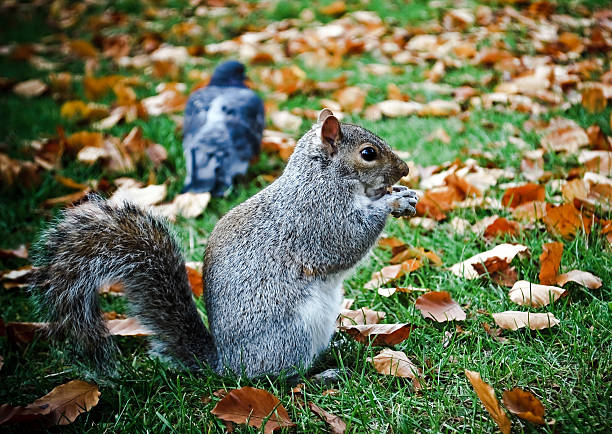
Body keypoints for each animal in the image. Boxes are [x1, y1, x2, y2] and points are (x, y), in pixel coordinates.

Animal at [29, 110, 420, 378]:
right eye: (368, 153)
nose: (405, 170)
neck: (320, 177)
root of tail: (226, 363)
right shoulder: (316, 218)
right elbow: (347, 241)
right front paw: (392, 201)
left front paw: (402, 194)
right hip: (290, 333)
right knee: (278, 378)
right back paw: (320, 374)